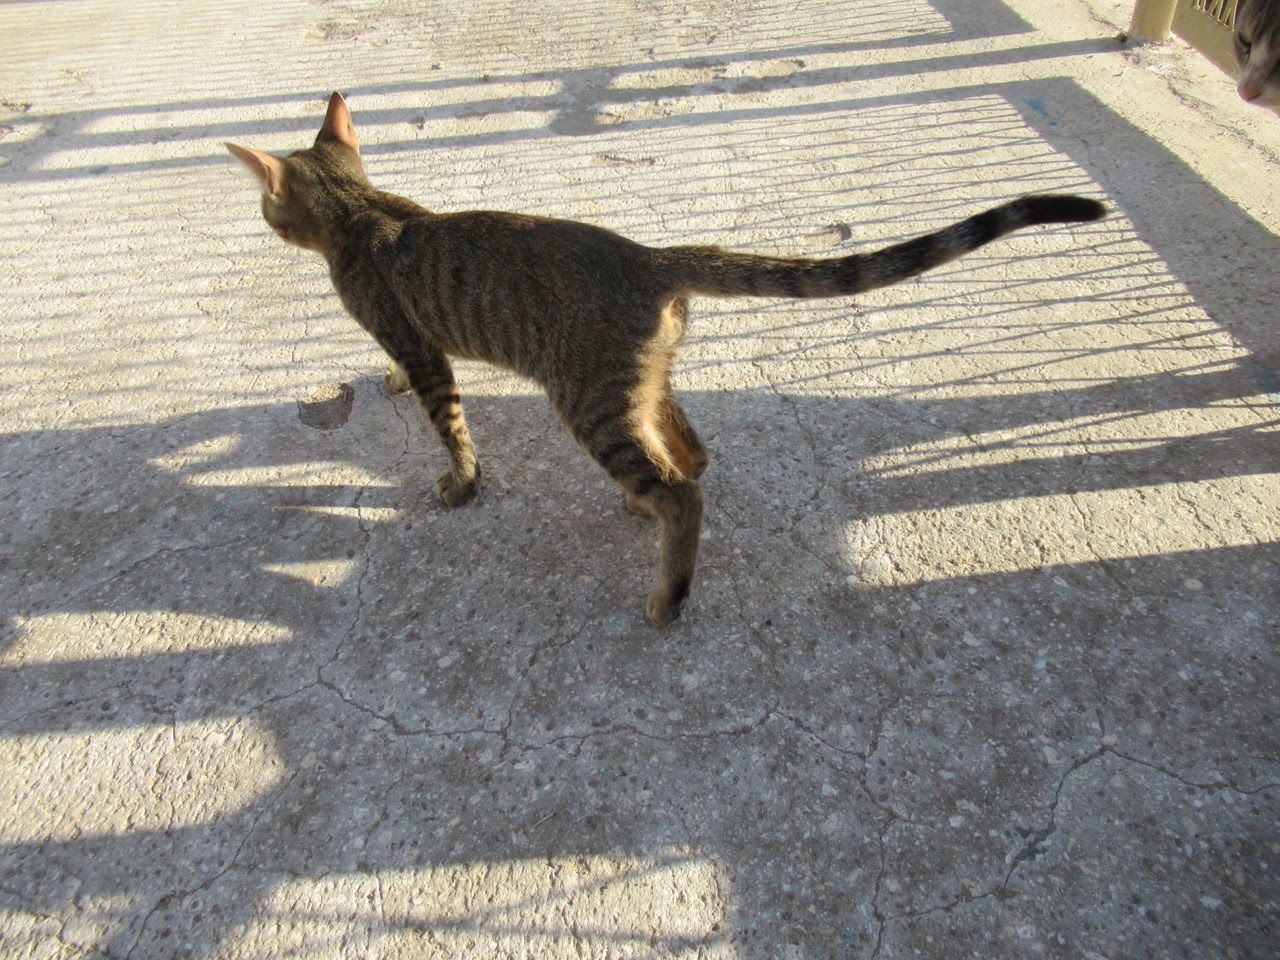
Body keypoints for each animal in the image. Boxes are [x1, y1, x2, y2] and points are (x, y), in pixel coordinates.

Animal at [227, 93, 1105, 626]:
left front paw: (459, 483)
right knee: (693, 454)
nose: (262, 220)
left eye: (266, 207)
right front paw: (390, 386)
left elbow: (449, 424)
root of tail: (650, 256)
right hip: (638, 383)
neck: (359, 210)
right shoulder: (422, 343)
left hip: (585, 399)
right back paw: (649, 504)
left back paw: (668, 593)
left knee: (684, 490)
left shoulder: (417, 340)